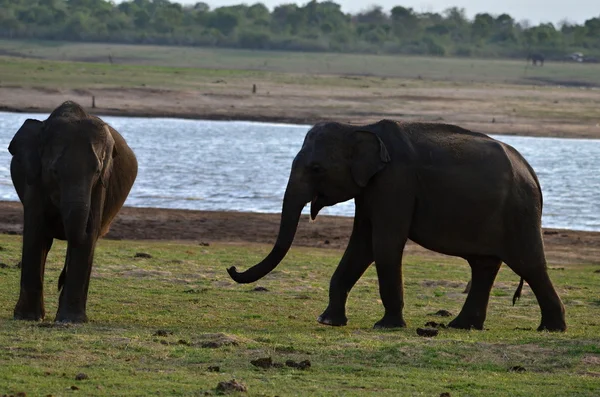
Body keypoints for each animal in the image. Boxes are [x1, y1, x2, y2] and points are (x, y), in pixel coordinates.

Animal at [8, 100, 138, 324]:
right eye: (54, 171)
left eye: (96, 171)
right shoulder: (34, 180)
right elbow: (35, 232)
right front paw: (27, 318)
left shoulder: (100, 185)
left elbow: (85, 238)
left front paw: (70, 320)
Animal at [227, 120, 564, 332]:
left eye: (317, 169)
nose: (232, 268)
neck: (358, 127)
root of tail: (531, 173)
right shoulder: (370, 189)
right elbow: (361, 244)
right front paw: (328, 321)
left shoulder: (395, 183)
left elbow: (384, 243)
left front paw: (385, 326)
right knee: (484, 265)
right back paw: (462, 326)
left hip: (519, 212)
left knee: (529, 264)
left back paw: (551, 329)